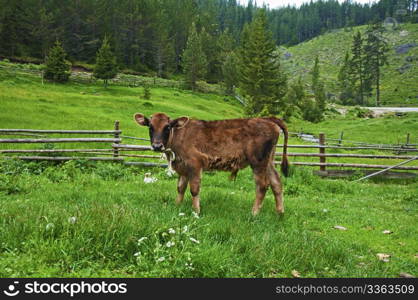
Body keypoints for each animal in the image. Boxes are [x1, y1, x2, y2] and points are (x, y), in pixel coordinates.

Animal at [134, 113, 288, 216]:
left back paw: (254, 213)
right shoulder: (183, 167)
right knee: (276, 183)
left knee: (262, 186)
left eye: (167, 127)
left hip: (258, 161)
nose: (157, 146)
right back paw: (280, 212)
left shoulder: (195, 164)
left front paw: (196, 211)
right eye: (150, 127)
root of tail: (267, 119)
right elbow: (180, 188)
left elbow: (194, 189)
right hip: (269, 161)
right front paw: (177, 205)